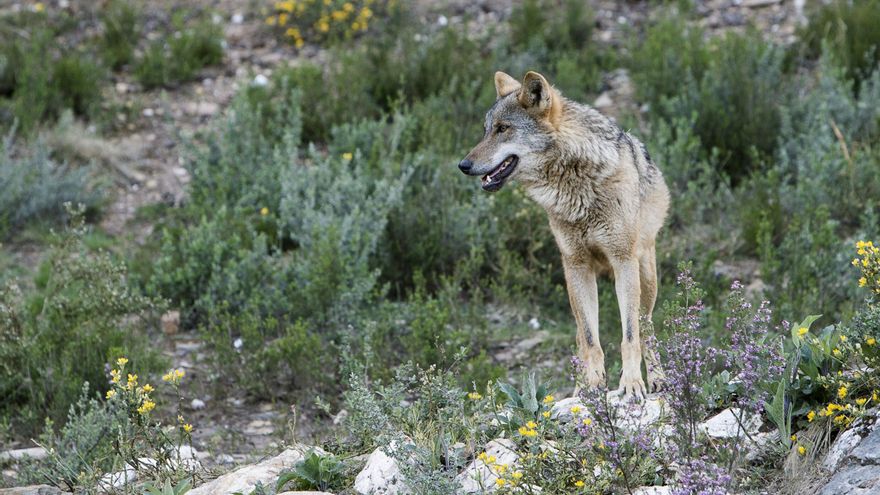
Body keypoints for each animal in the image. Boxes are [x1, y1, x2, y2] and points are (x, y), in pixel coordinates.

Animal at [458, 71, 670, 399]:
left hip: (645, 276)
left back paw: (658, 380)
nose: (463, 165)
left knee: (646, 328)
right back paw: (579, 387)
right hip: (574, 282)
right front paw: (592, 386)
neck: (577, 184)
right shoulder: (576, 265)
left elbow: (629, 336)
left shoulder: (622, 260)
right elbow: (591, 340)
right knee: (581, 337)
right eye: (486, 131)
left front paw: (632, 384)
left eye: (503, 129)